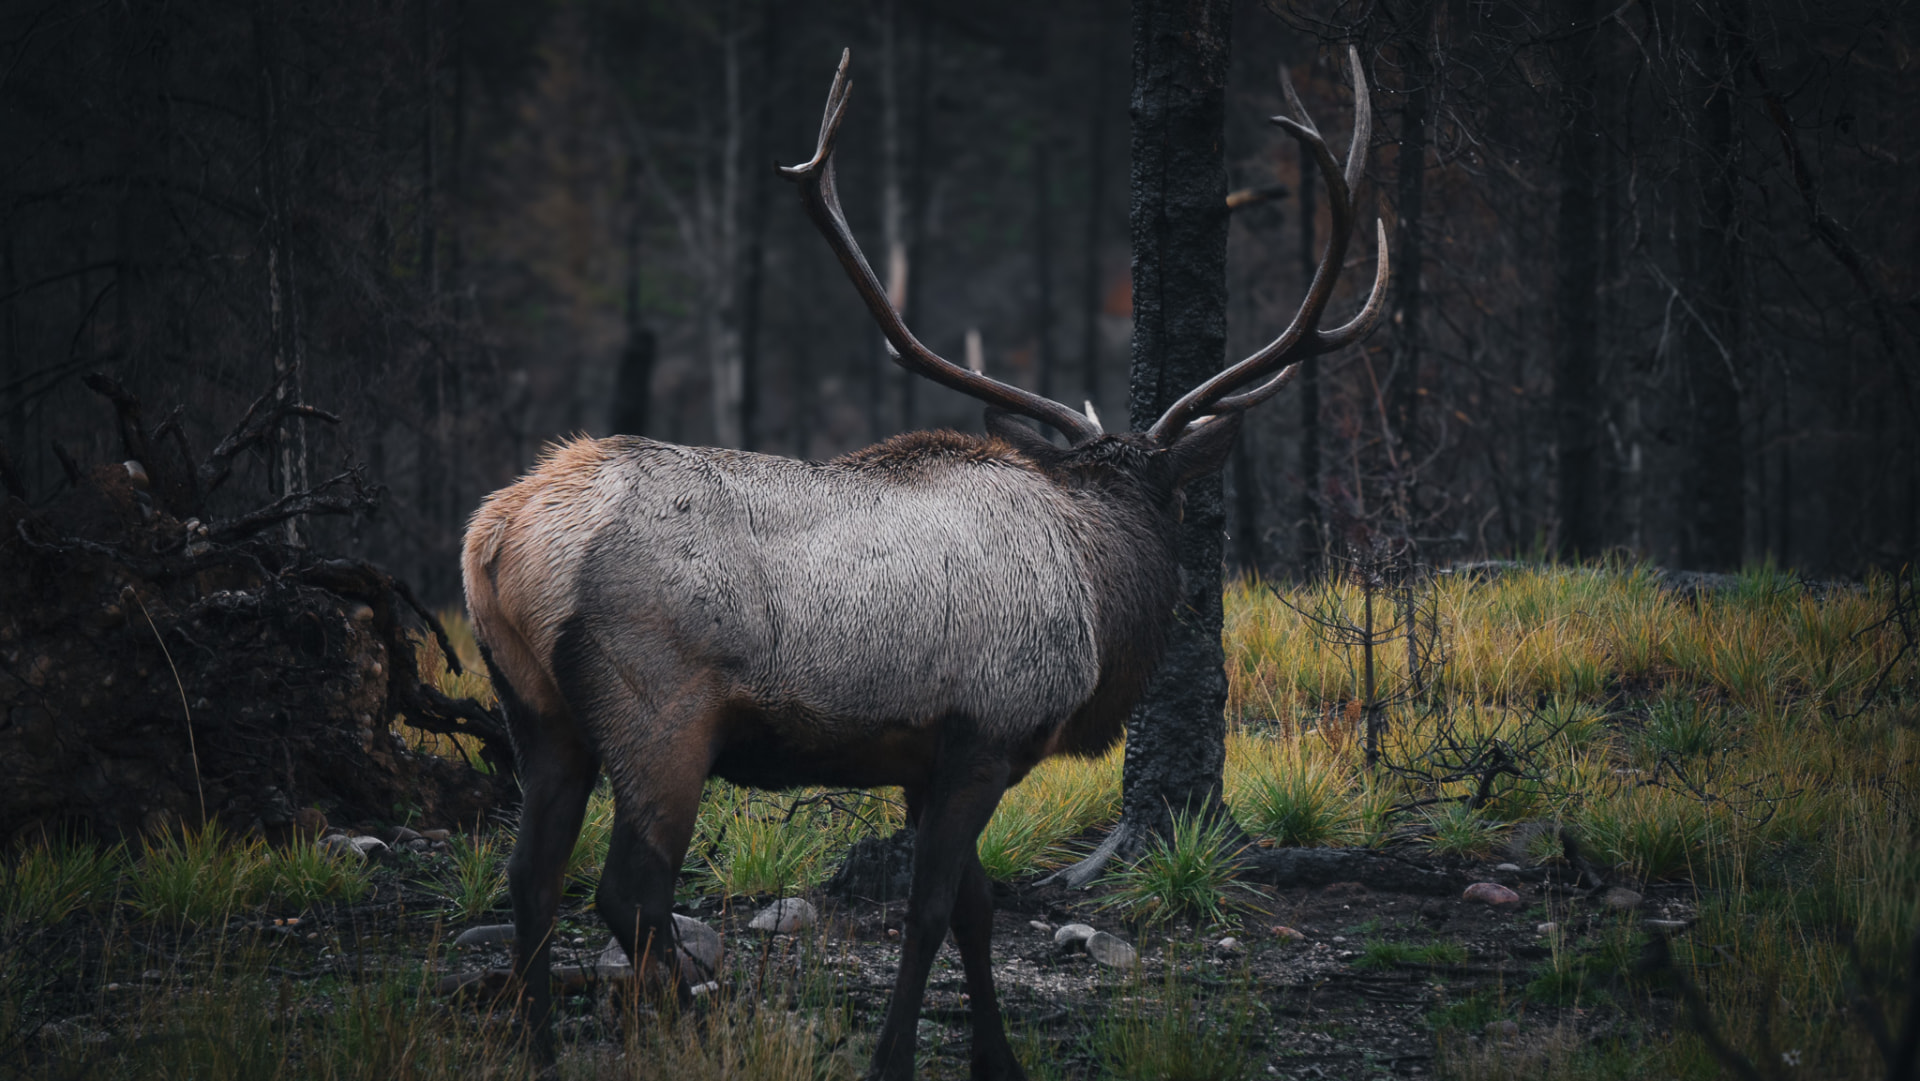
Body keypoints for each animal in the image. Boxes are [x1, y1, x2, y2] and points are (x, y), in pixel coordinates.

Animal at [461, 46, 1384, 1081]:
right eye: (1169, 497)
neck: (1098, 592)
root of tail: (496, 538)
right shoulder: (988, 731)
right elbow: (932, 910)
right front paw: (894, 1057)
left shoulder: (926, 754)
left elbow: (978, 913)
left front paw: (1000, 1059)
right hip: (661, 713)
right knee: (629, 890)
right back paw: (698, 1027)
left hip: (536, 708)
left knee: (532, 876)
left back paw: (541, 1049)